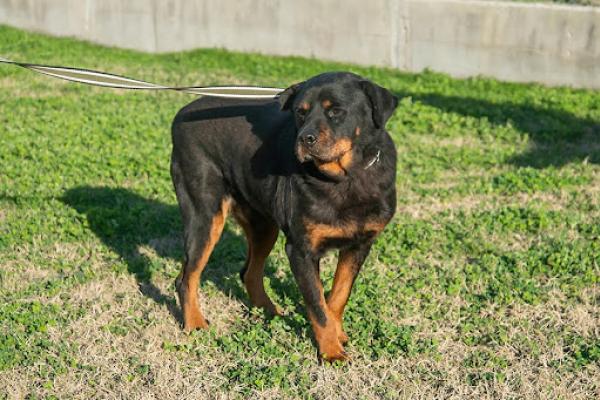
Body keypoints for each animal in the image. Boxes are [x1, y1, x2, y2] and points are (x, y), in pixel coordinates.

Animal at [170, 70, 398, 360]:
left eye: (336, 111)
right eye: (300, 113)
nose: (305, 138)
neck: (345, 178)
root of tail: (181, 115)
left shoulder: (359, 245)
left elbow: (337, 296)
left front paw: (338, 335)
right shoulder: (301, 250)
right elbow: (317, 306)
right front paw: (331, 352)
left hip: (263, 225)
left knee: (249, 272)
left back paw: (270, 312)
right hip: (205, 216)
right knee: (186, 278)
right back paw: (195, 323)